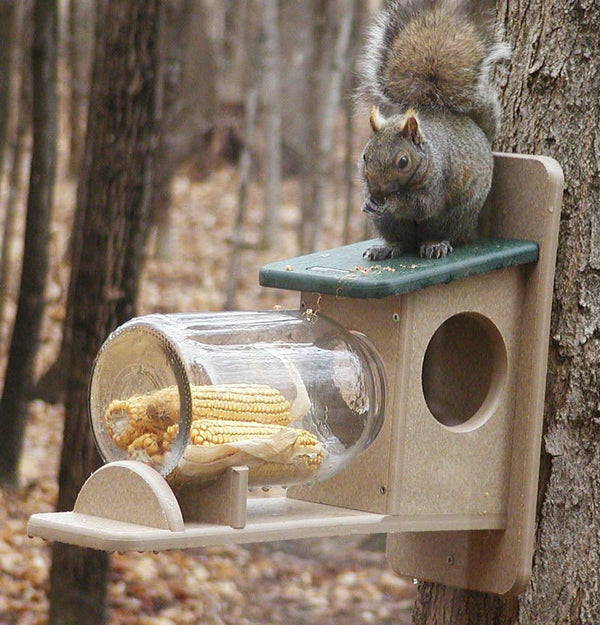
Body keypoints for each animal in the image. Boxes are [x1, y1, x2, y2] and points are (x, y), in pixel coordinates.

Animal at [358, 0, 508, 258]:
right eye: (365, 156)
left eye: (403, 162)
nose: (377, 192)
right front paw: (367, 201)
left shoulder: (437, 180)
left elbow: (419, 205)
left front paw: (392, 202)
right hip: (388, 224)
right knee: (401, 241)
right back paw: (386, 247)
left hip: (454, 216)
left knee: (439, 233)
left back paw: (434, 244)